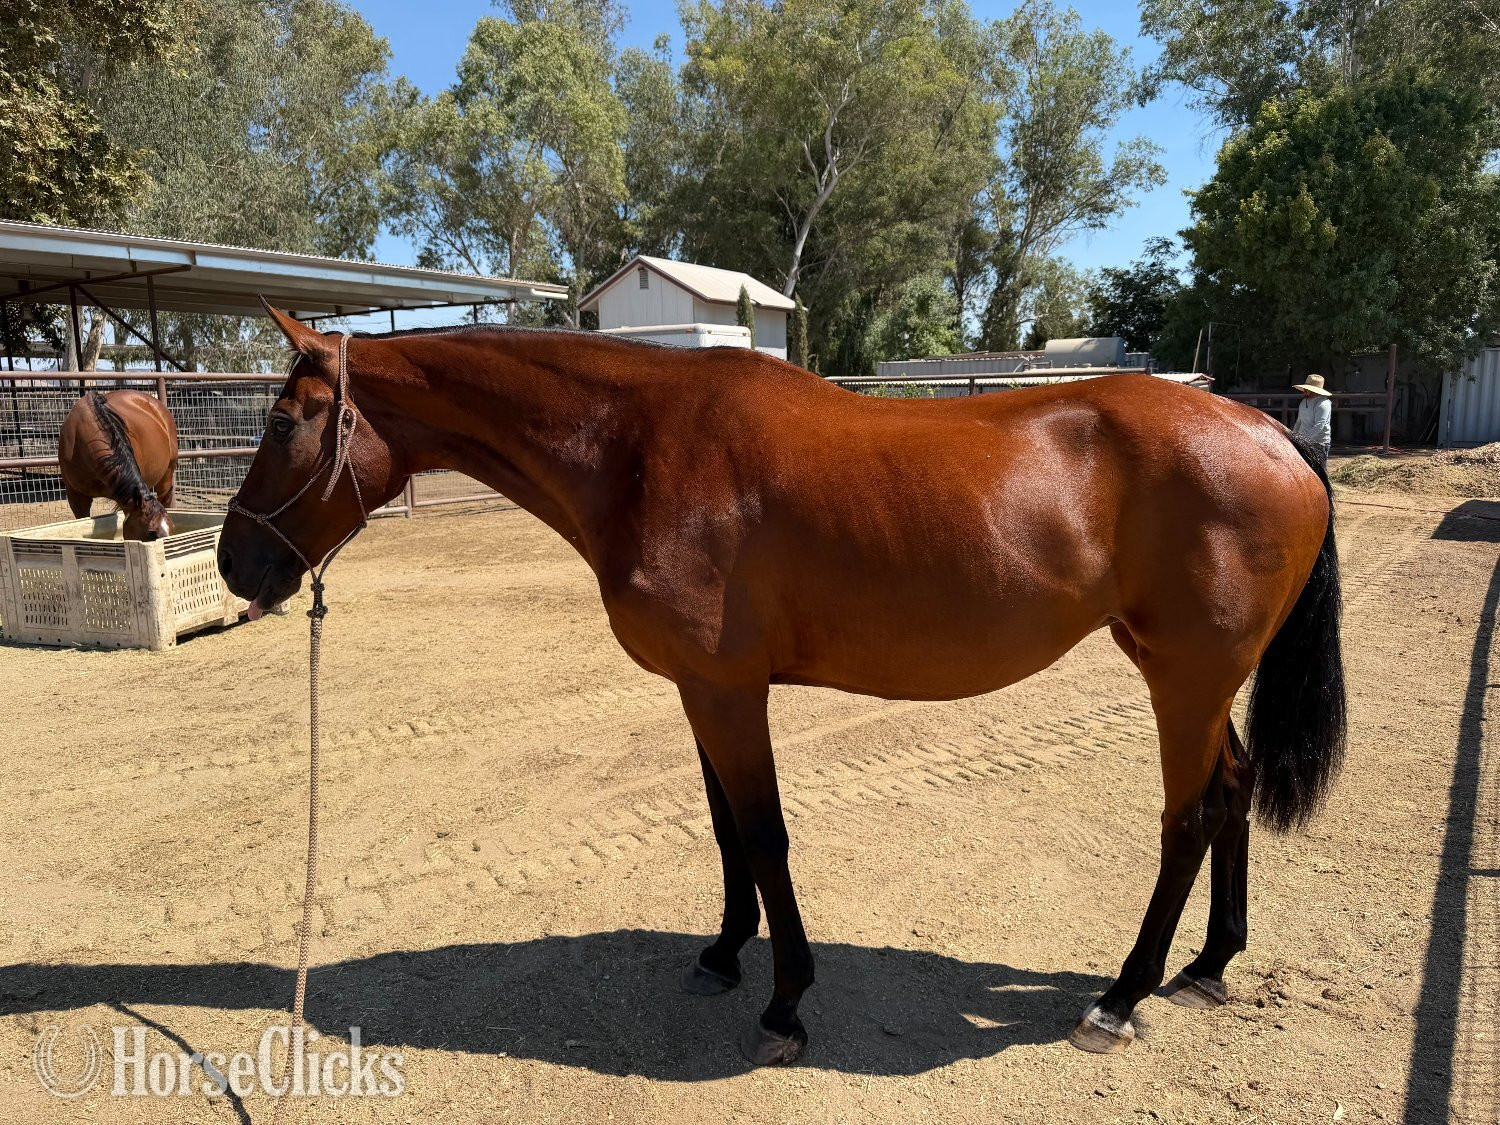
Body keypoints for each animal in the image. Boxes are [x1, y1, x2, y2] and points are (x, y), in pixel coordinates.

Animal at [219, 306, 1345, 1064]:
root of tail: (1271, 432)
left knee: (1189, 815)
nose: (235, 565)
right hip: (1189, 675)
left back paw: (1122, 996)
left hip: (1186, 680)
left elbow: (764, 836)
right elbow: (725, 831)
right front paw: (725, 953)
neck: (638, 447)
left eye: (281, 424)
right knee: (1235, 788)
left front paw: (785, 1003)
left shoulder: (728, 689)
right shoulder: (702, 688)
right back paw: (1209, 966)